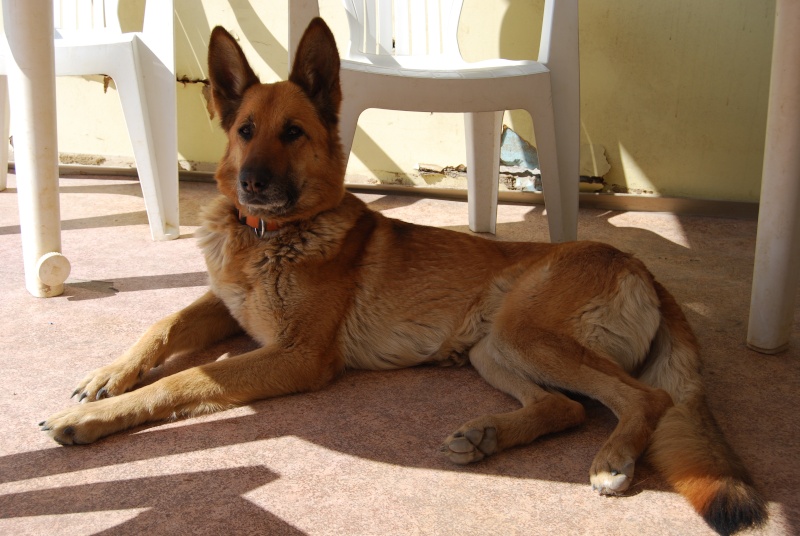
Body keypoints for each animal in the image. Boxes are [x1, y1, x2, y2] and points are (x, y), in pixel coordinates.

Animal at [40, 18, 764, 532]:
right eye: (245, 130)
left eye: (293, 132)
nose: (252, 185)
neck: (271, 238)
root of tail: (643, 267)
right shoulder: (225, 305)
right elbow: (163, 325)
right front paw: (107, 378)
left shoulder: (296, 355)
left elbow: (188, 379)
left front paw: (96, 418)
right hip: (494, 349)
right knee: (564, 406)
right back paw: (487, 435)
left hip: (530, 335)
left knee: (645, 399)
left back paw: (614, 460)